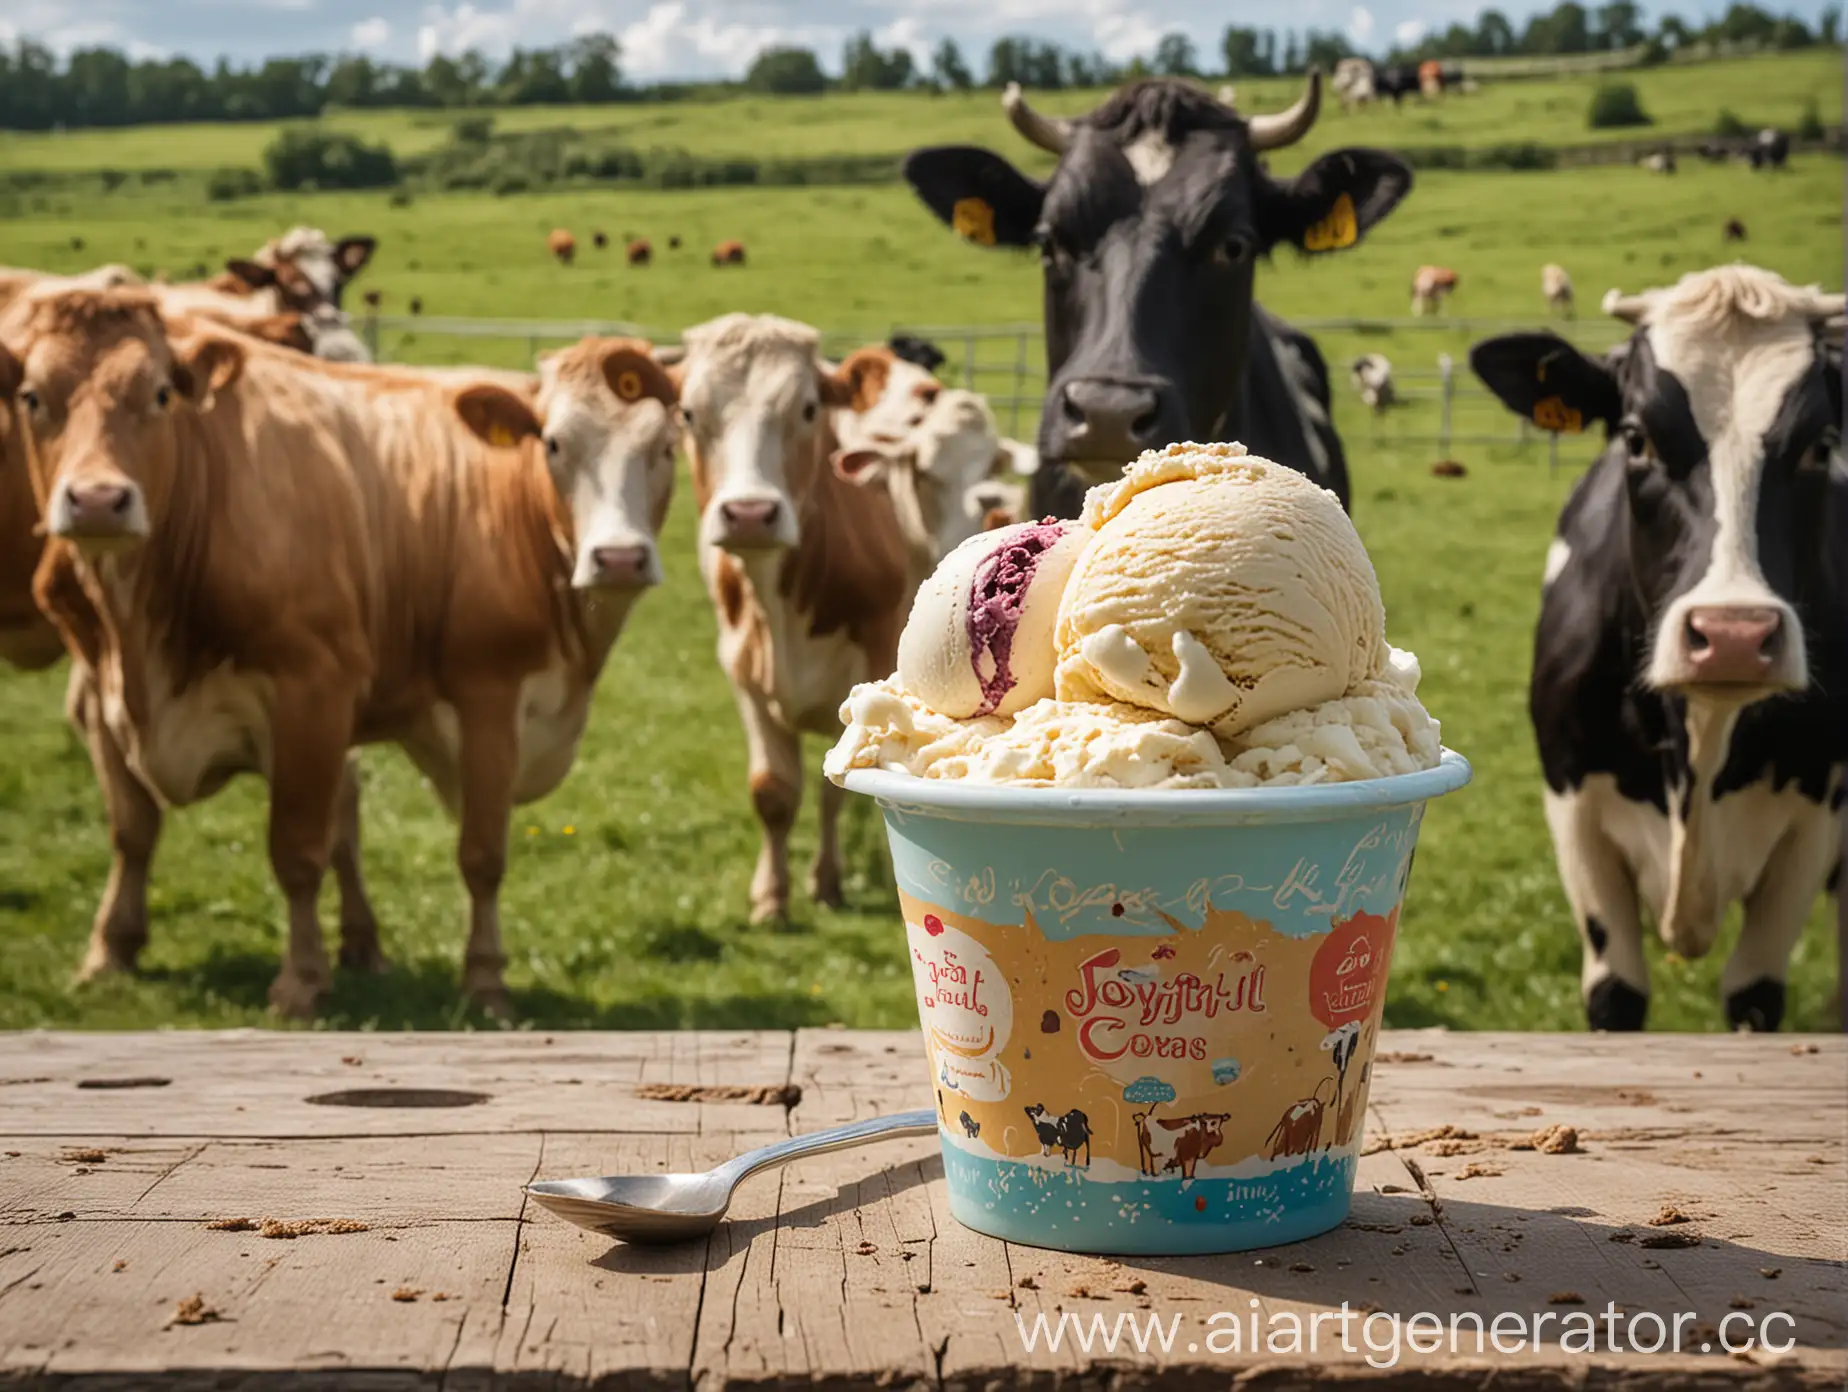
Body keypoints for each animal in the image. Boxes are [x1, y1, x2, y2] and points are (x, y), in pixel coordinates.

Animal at [0, 290, 680, 1013]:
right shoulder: (109, 691)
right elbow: (140, 832)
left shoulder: (444, 698)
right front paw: (112, 952)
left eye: (667, 446)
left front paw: (474, 980)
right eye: (32, 397)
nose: (97, 500)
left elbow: (452, 853)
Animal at [676, 314, 912, 924]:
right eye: (688, 413)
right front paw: (771, 898)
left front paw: (827, 882)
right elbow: (773, 790)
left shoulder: (872, 660)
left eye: (808, 409)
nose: (749, 513)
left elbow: (834, 789)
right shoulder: (742, 672)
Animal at [1471, 266, 1848, 1035]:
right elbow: (1616, 994)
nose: (1733, 637)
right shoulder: (1575, 812)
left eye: (1821, 443)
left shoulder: (1815, 822)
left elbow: (1755, 993)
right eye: (1636, 437)